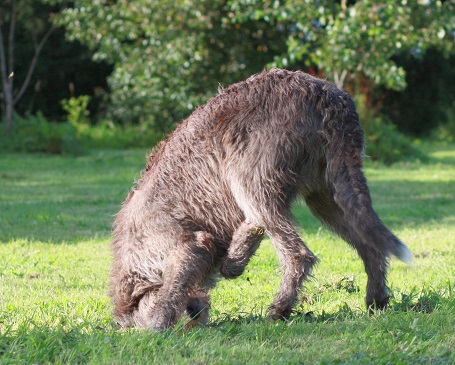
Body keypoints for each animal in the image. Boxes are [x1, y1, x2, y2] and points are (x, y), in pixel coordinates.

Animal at [110, 67, 414, 330]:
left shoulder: (185, 246)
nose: (195, 313)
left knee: (297, 253)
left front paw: (157, 326)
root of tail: (329, 97)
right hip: (328, 194)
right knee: (369, 247)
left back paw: (279, 307)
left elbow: (173, 289)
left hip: (246, 173)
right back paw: (376, 300)